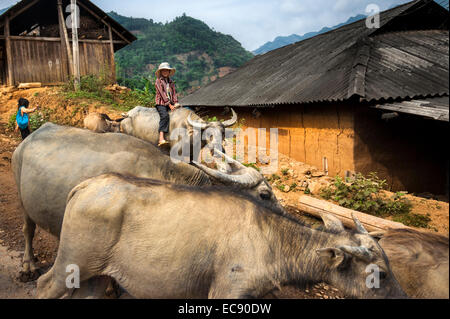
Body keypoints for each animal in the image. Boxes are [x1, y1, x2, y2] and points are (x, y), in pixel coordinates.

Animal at [11, 122, 282, 278]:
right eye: (264, 195)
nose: (283, 216)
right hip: (22, 200)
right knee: (28, 230)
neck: (163, 174)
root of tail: (29, 138)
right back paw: (28, 267)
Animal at [37, 172, 406, 300]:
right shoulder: (227, 291)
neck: (270, 239)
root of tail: (87, 184)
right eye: (380, 274)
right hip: (70, 265)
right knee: (43, 285)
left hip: (96, 276)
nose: (403, 298)